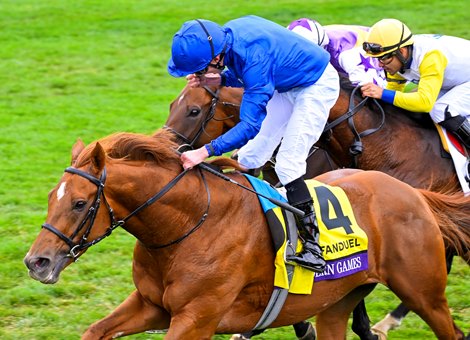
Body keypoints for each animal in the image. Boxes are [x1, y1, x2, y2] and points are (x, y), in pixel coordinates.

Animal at [24, 130, 470, 340]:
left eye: (79, 203)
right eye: (50, 197)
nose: (36, 262)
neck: (186, 227)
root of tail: (413, 192)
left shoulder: (196, 318)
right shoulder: (152, 305)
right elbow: (94, 330)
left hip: (424, 292)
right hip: (336, 302)